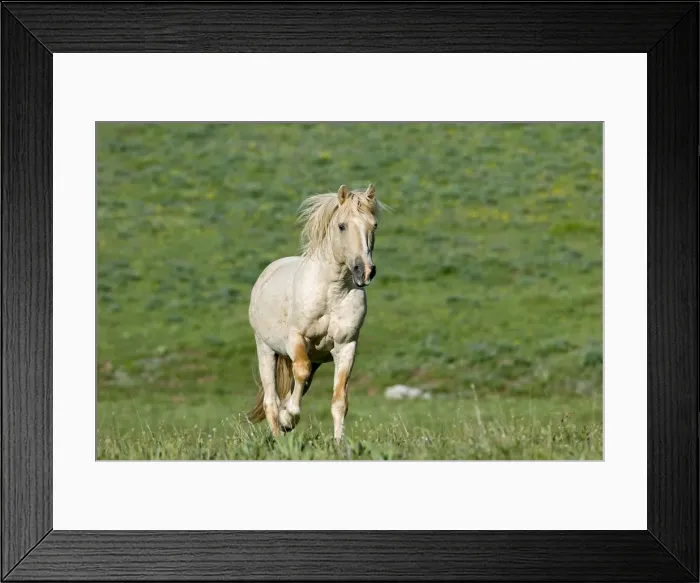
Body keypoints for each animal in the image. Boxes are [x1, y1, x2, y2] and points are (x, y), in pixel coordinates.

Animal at [246, 183, 385, 440]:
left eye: (374, 225)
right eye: (342, 226)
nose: (364, 271)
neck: (332, 292)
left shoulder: (346, 346)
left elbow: (340, 401)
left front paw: (339, 443)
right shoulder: (295, 339)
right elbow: (300, 372)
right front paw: (289, 416)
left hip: (315, 358)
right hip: (266, 350)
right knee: (271, 400)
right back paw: (279, 435)